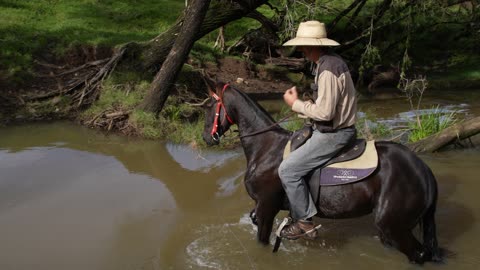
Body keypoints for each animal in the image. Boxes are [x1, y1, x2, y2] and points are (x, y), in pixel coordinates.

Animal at [200, 81, 442, 262]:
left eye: (210, 107)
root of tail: (424, 171)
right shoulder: (262, 209)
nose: (205, 137)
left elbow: (262, 241)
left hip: (394, 227)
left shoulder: (266, 207)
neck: (265, 147)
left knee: (418, 255)